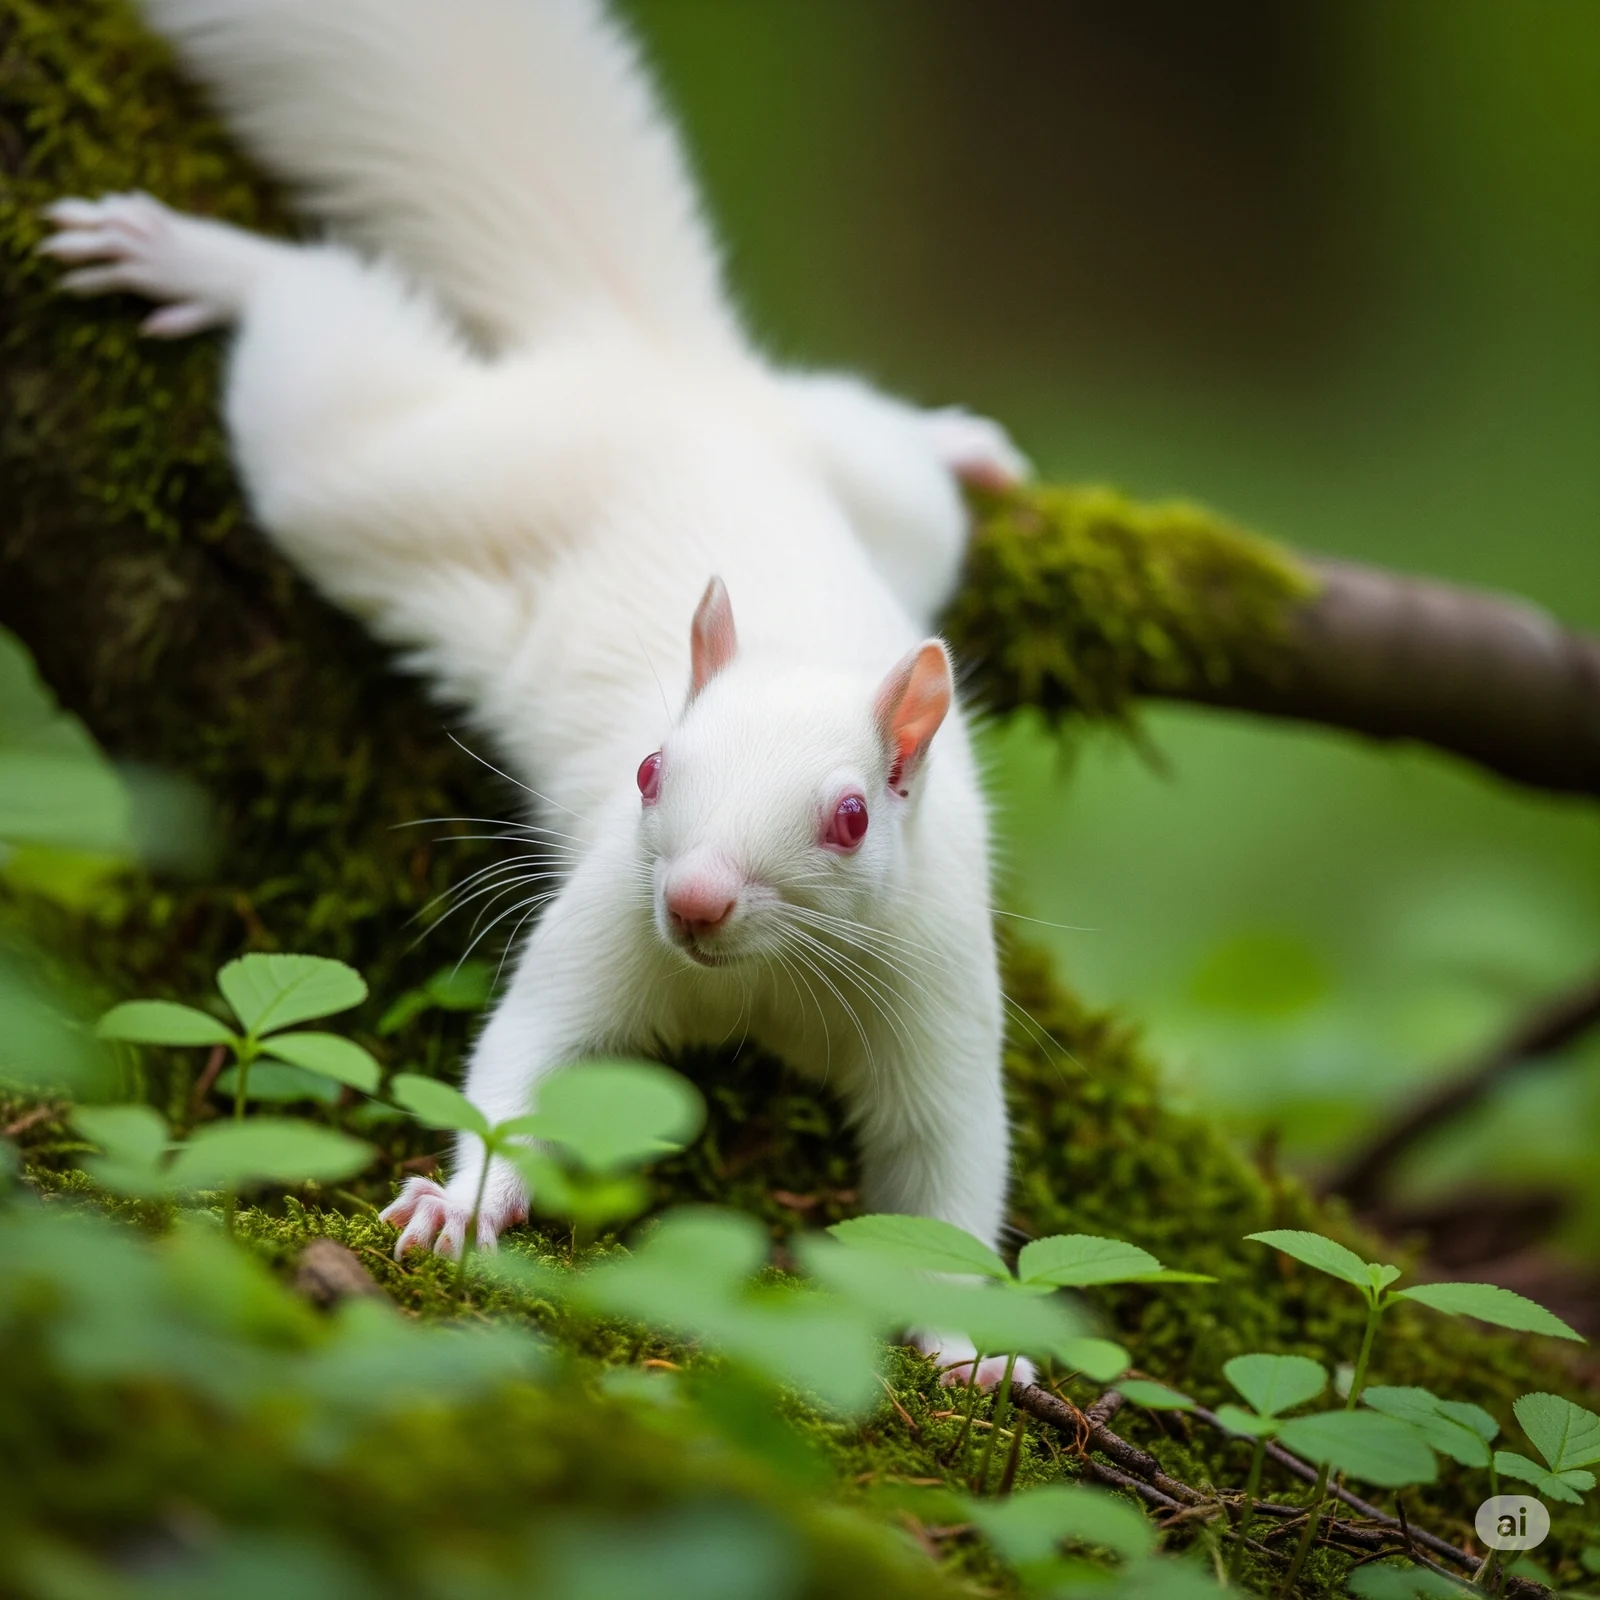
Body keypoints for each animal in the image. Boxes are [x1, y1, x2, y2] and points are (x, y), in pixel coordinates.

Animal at [42, 0, 1034, 1387]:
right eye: (650, 770)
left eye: (850, 816)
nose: (694, 900)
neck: (761, 979)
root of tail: (649, 367)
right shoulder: (605, 918)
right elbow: (523, 1057)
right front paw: (463, 1200)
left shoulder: (934, 988)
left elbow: (946, 1179)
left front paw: (972, 1349)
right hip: (395, 480)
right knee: (317, 333)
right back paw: (204, 259)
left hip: (897, 523)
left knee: (866, 436)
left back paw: (956, 440)